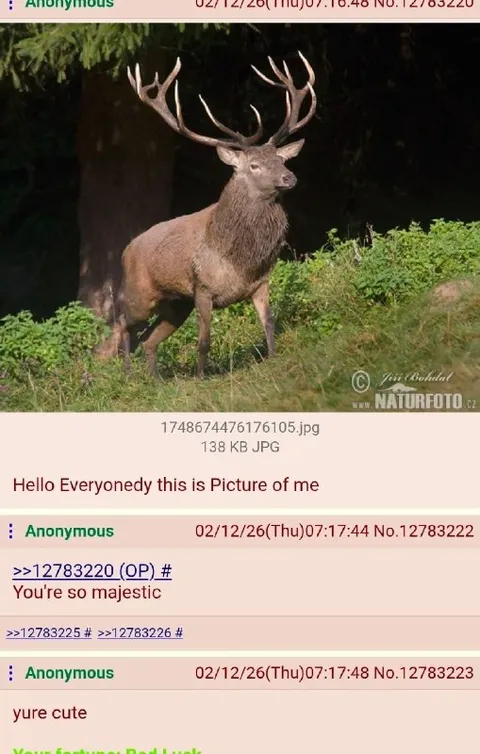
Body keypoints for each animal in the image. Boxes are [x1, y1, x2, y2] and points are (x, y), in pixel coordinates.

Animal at [118, 50, 316, 379]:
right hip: (140, 294)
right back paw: (126, 375)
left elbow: (269, 322)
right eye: (254, 166)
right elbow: (204, 340)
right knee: (124, 324)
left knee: (148, 339)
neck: (239, 259)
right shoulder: (202, 289)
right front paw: (200, 377)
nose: (289, 178)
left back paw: (155, 381)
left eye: (280, 159)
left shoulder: (260, 283)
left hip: (176, 305)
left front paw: (273, 357)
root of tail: (125, 250)